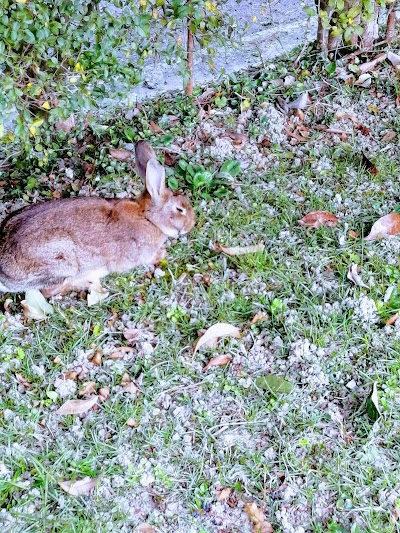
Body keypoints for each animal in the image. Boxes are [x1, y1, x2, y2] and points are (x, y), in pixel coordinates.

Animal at [0, 141, 195, 296]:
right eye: (179, 209)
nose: (192, 224)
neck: (147, 217)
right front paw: (163, 253)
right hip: (62, 262)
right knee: (49, 291)